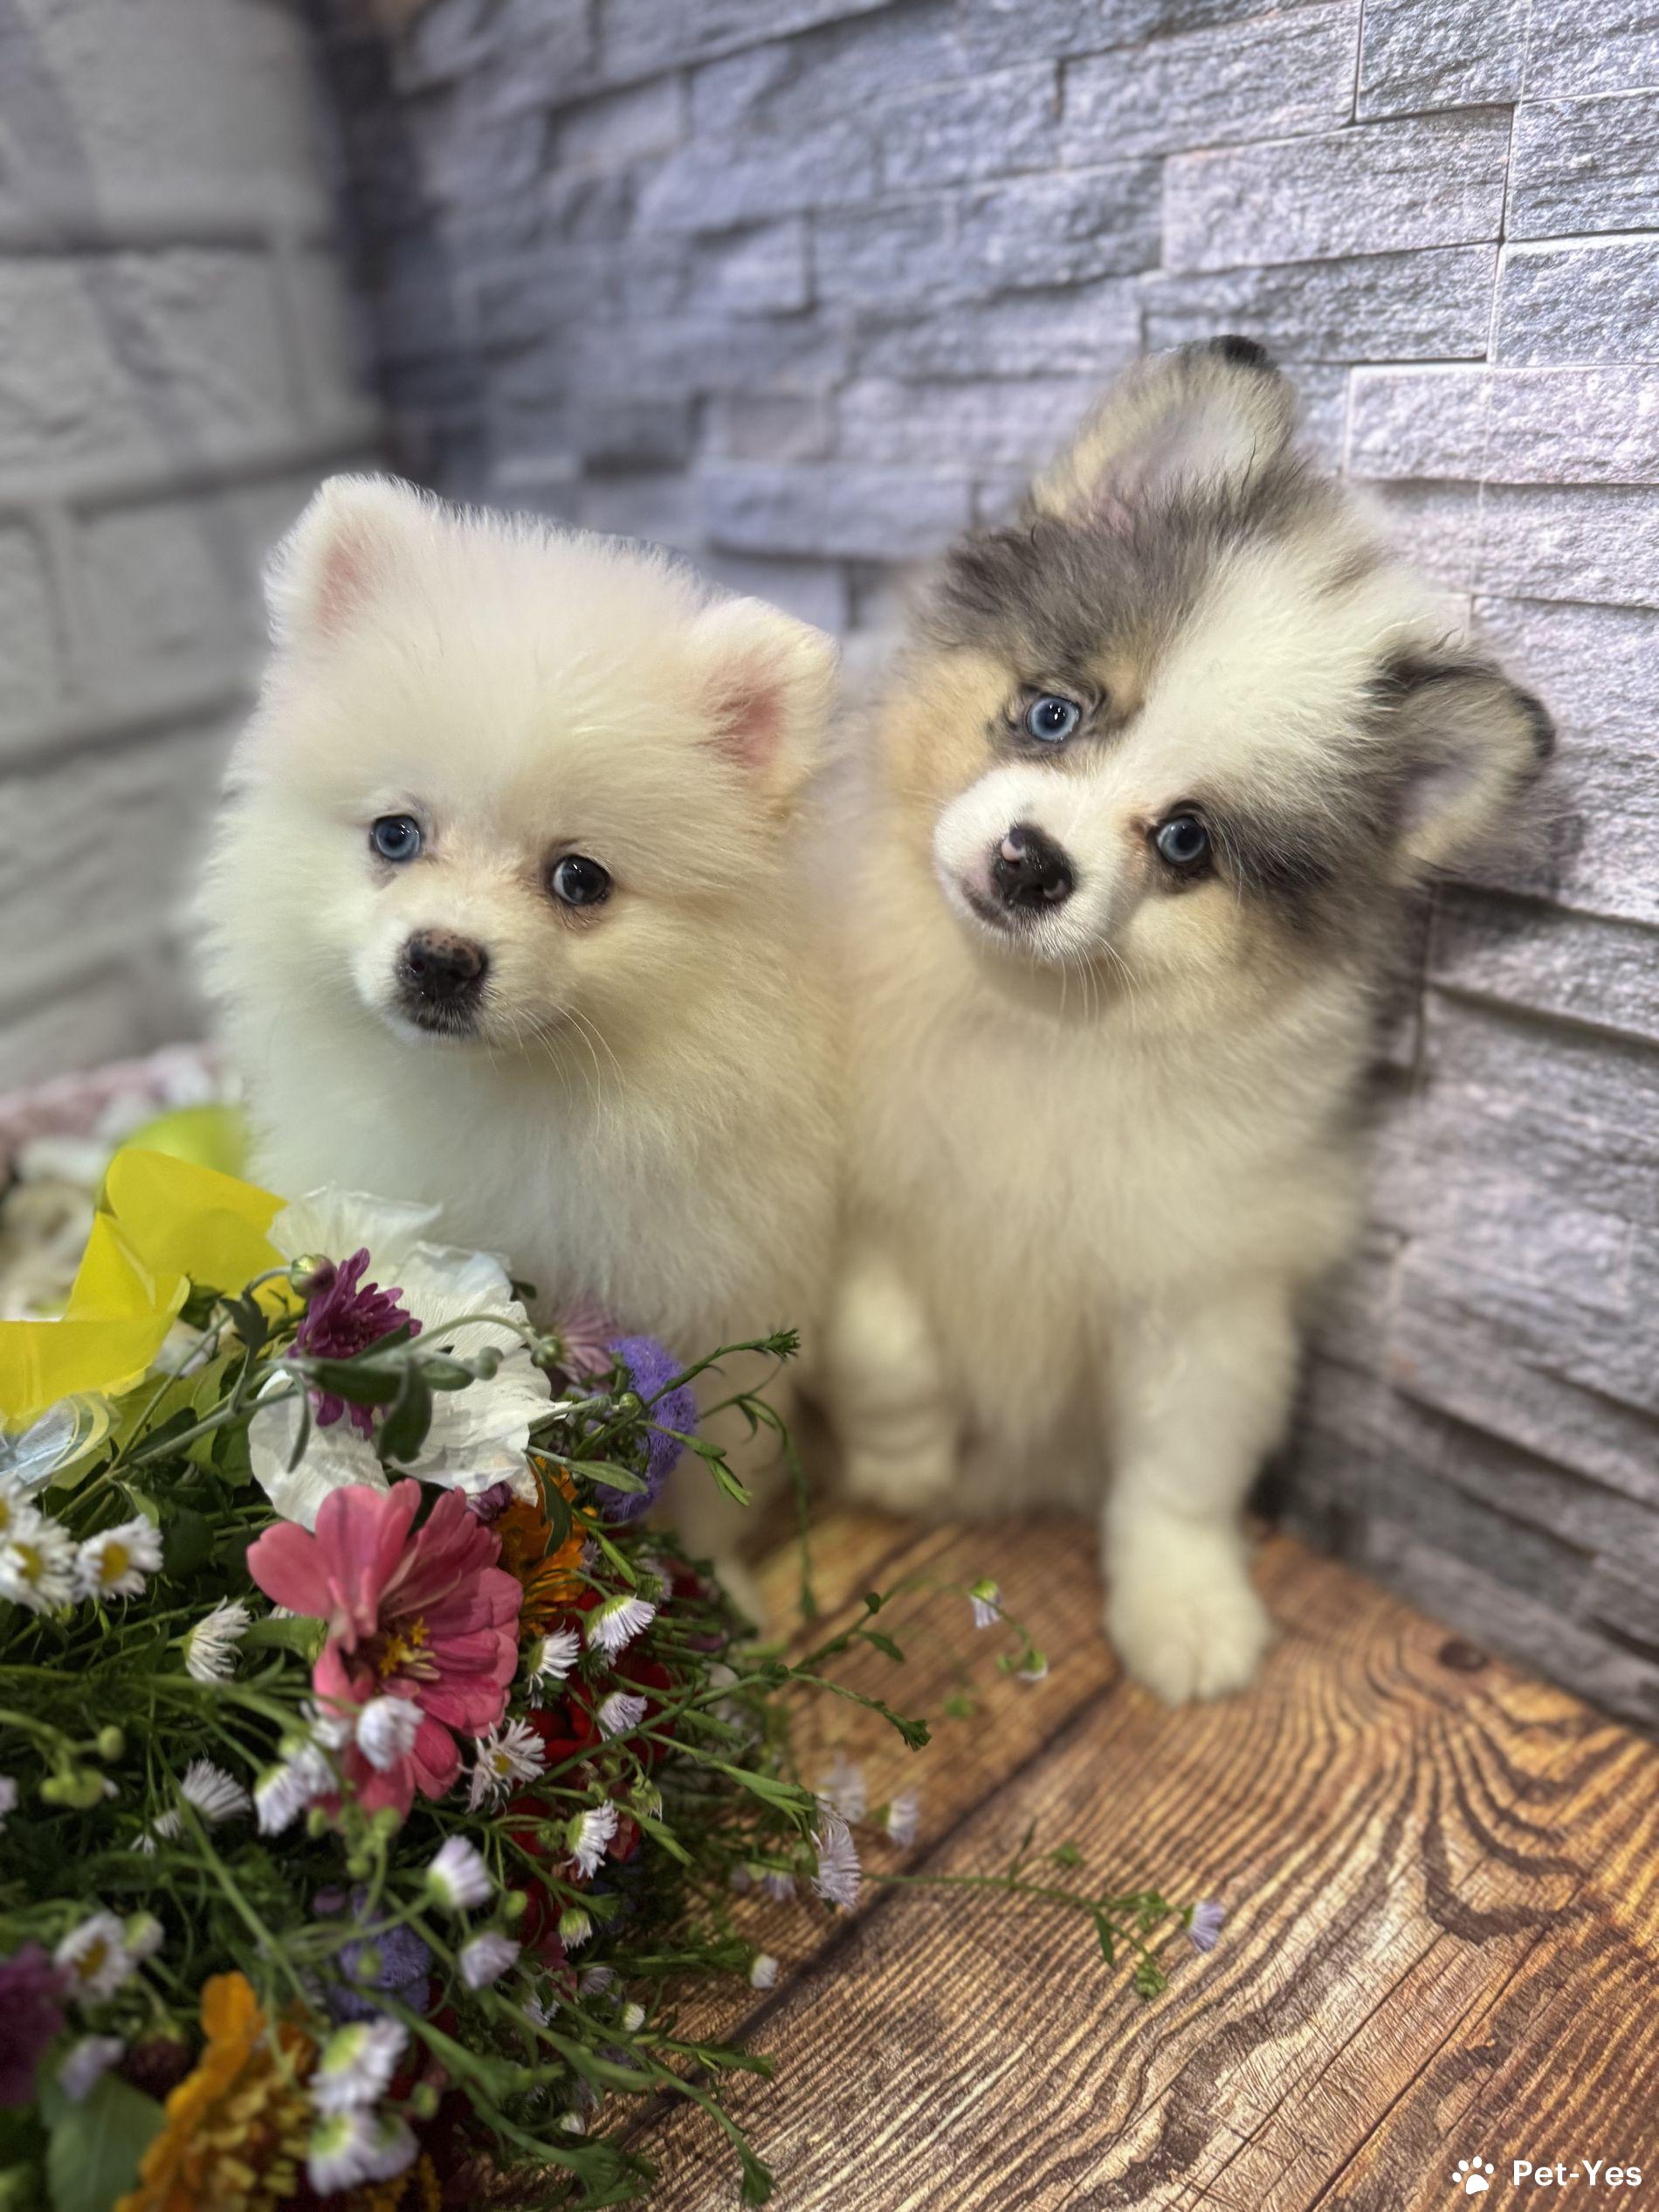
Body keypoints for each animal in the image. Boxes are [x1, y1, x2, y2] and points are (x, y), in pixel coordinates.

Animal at [199, 476, 840, 1571]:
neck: (503, 1088)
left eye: (578, 879)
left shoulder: (709, 1299)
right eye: (395, 834)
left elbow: (705, 1485)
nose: (442, 956)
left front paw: (717, 1584)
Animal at [821, 340, 1551, 1702]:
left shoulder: (1208, 1285)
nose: (1030, 864)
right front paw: (904, 1463)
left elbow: (1179, 1472)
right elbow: (879, 1339)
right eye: (1054, 711)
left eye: (1185, 841)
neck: (1030, 1022)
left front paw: (1188, 1613)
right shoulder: (849, 1187)